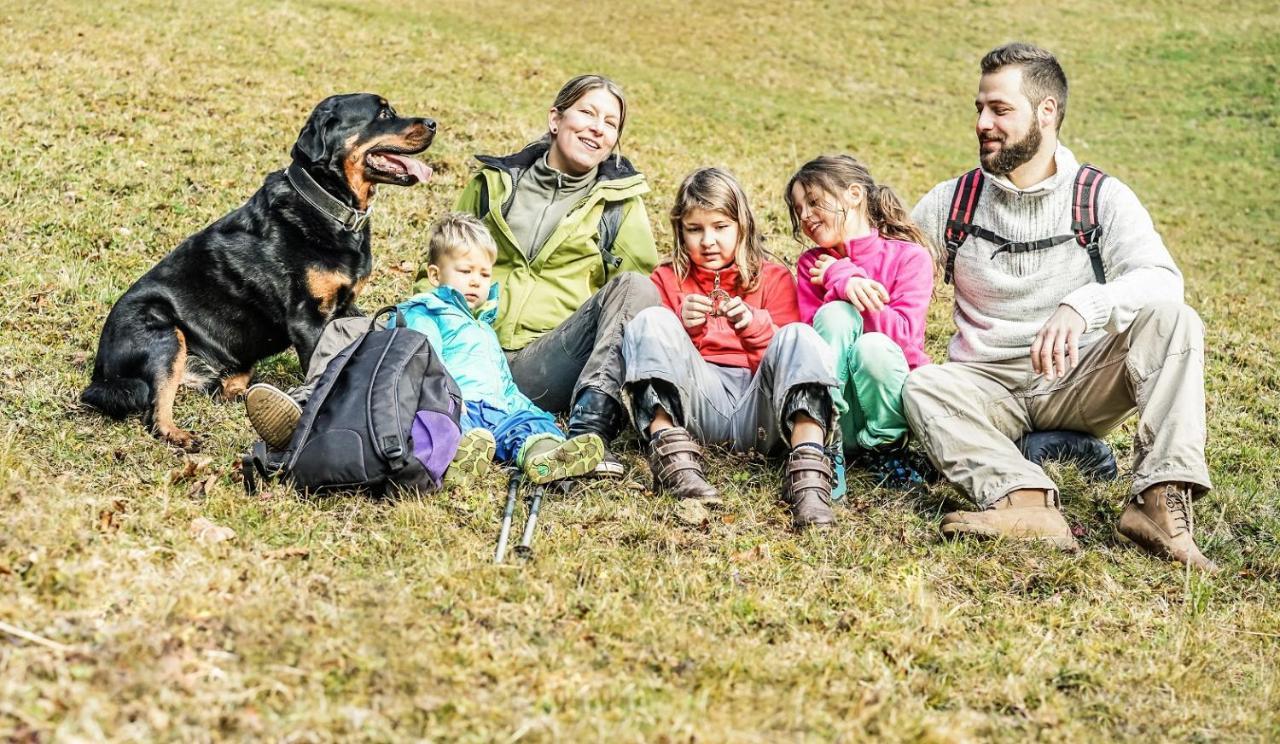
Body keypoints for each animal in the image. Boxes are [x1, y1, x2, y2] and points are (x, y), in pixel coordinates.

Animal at [83, 92, 440, 445]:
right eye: (383, 114)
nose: (434, 123)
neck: (328, 206)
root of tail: (101, 370)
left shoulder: (347, 306)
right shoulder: (307, 319)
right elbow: (320, 368)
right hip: (163, 335)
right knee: (155, 410)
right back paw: (179, 433)